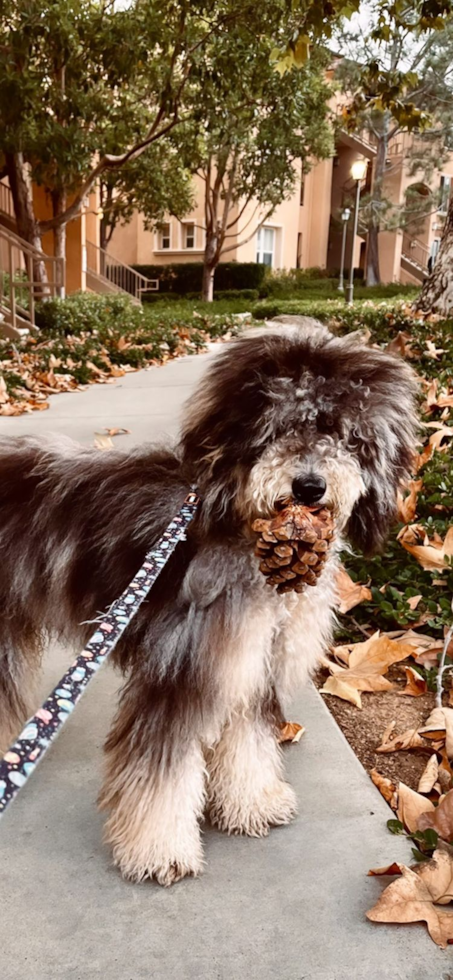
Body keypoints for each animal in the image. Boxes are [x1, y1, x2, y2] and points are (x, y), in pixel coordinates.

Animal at [0, 318, 416, 884]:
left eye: (345, 435)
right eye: (279, 428)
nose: (309, 486)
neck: (244, 533)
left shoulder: (254, 663)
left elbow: (249, 744)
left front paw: (252, 803)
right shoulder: (182, 668)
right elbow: (163, 774)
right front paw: (159, 850)